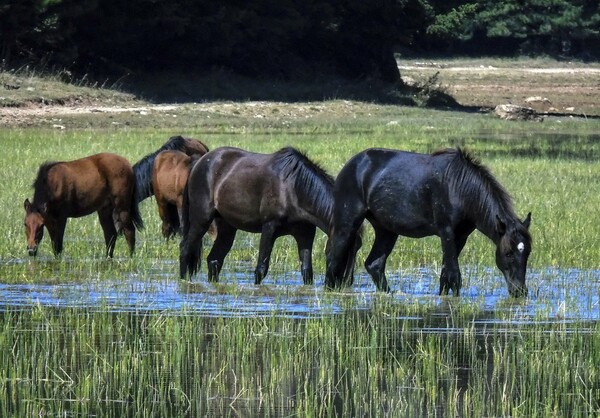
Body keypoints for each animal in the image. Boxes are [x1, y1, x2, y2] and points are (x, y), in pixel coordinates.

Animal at [326, 147, 532, 298]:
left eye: (527, 252)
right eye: (508, 253)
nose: (520, 291)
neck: (458, 188)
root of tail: (352, 165)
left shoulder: (460, 237)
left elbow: (445, 276)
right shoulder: (447, 233)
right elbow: (454, 275)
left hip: (386, 230)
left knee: (374, 264)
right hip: (347, 223)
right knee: (333, 259)